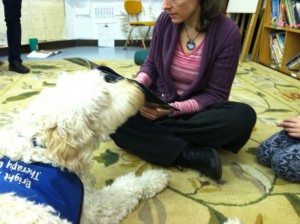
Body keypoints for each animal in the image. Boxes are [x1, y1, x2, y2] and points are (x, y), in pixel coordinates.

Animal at [0, 69, 169, 223]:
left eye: (105, 82)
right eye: (105, 96)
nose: (136, 86)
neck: (37, 145)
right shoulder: (95, 209)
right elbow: (127, 186)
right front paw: (154, 178)